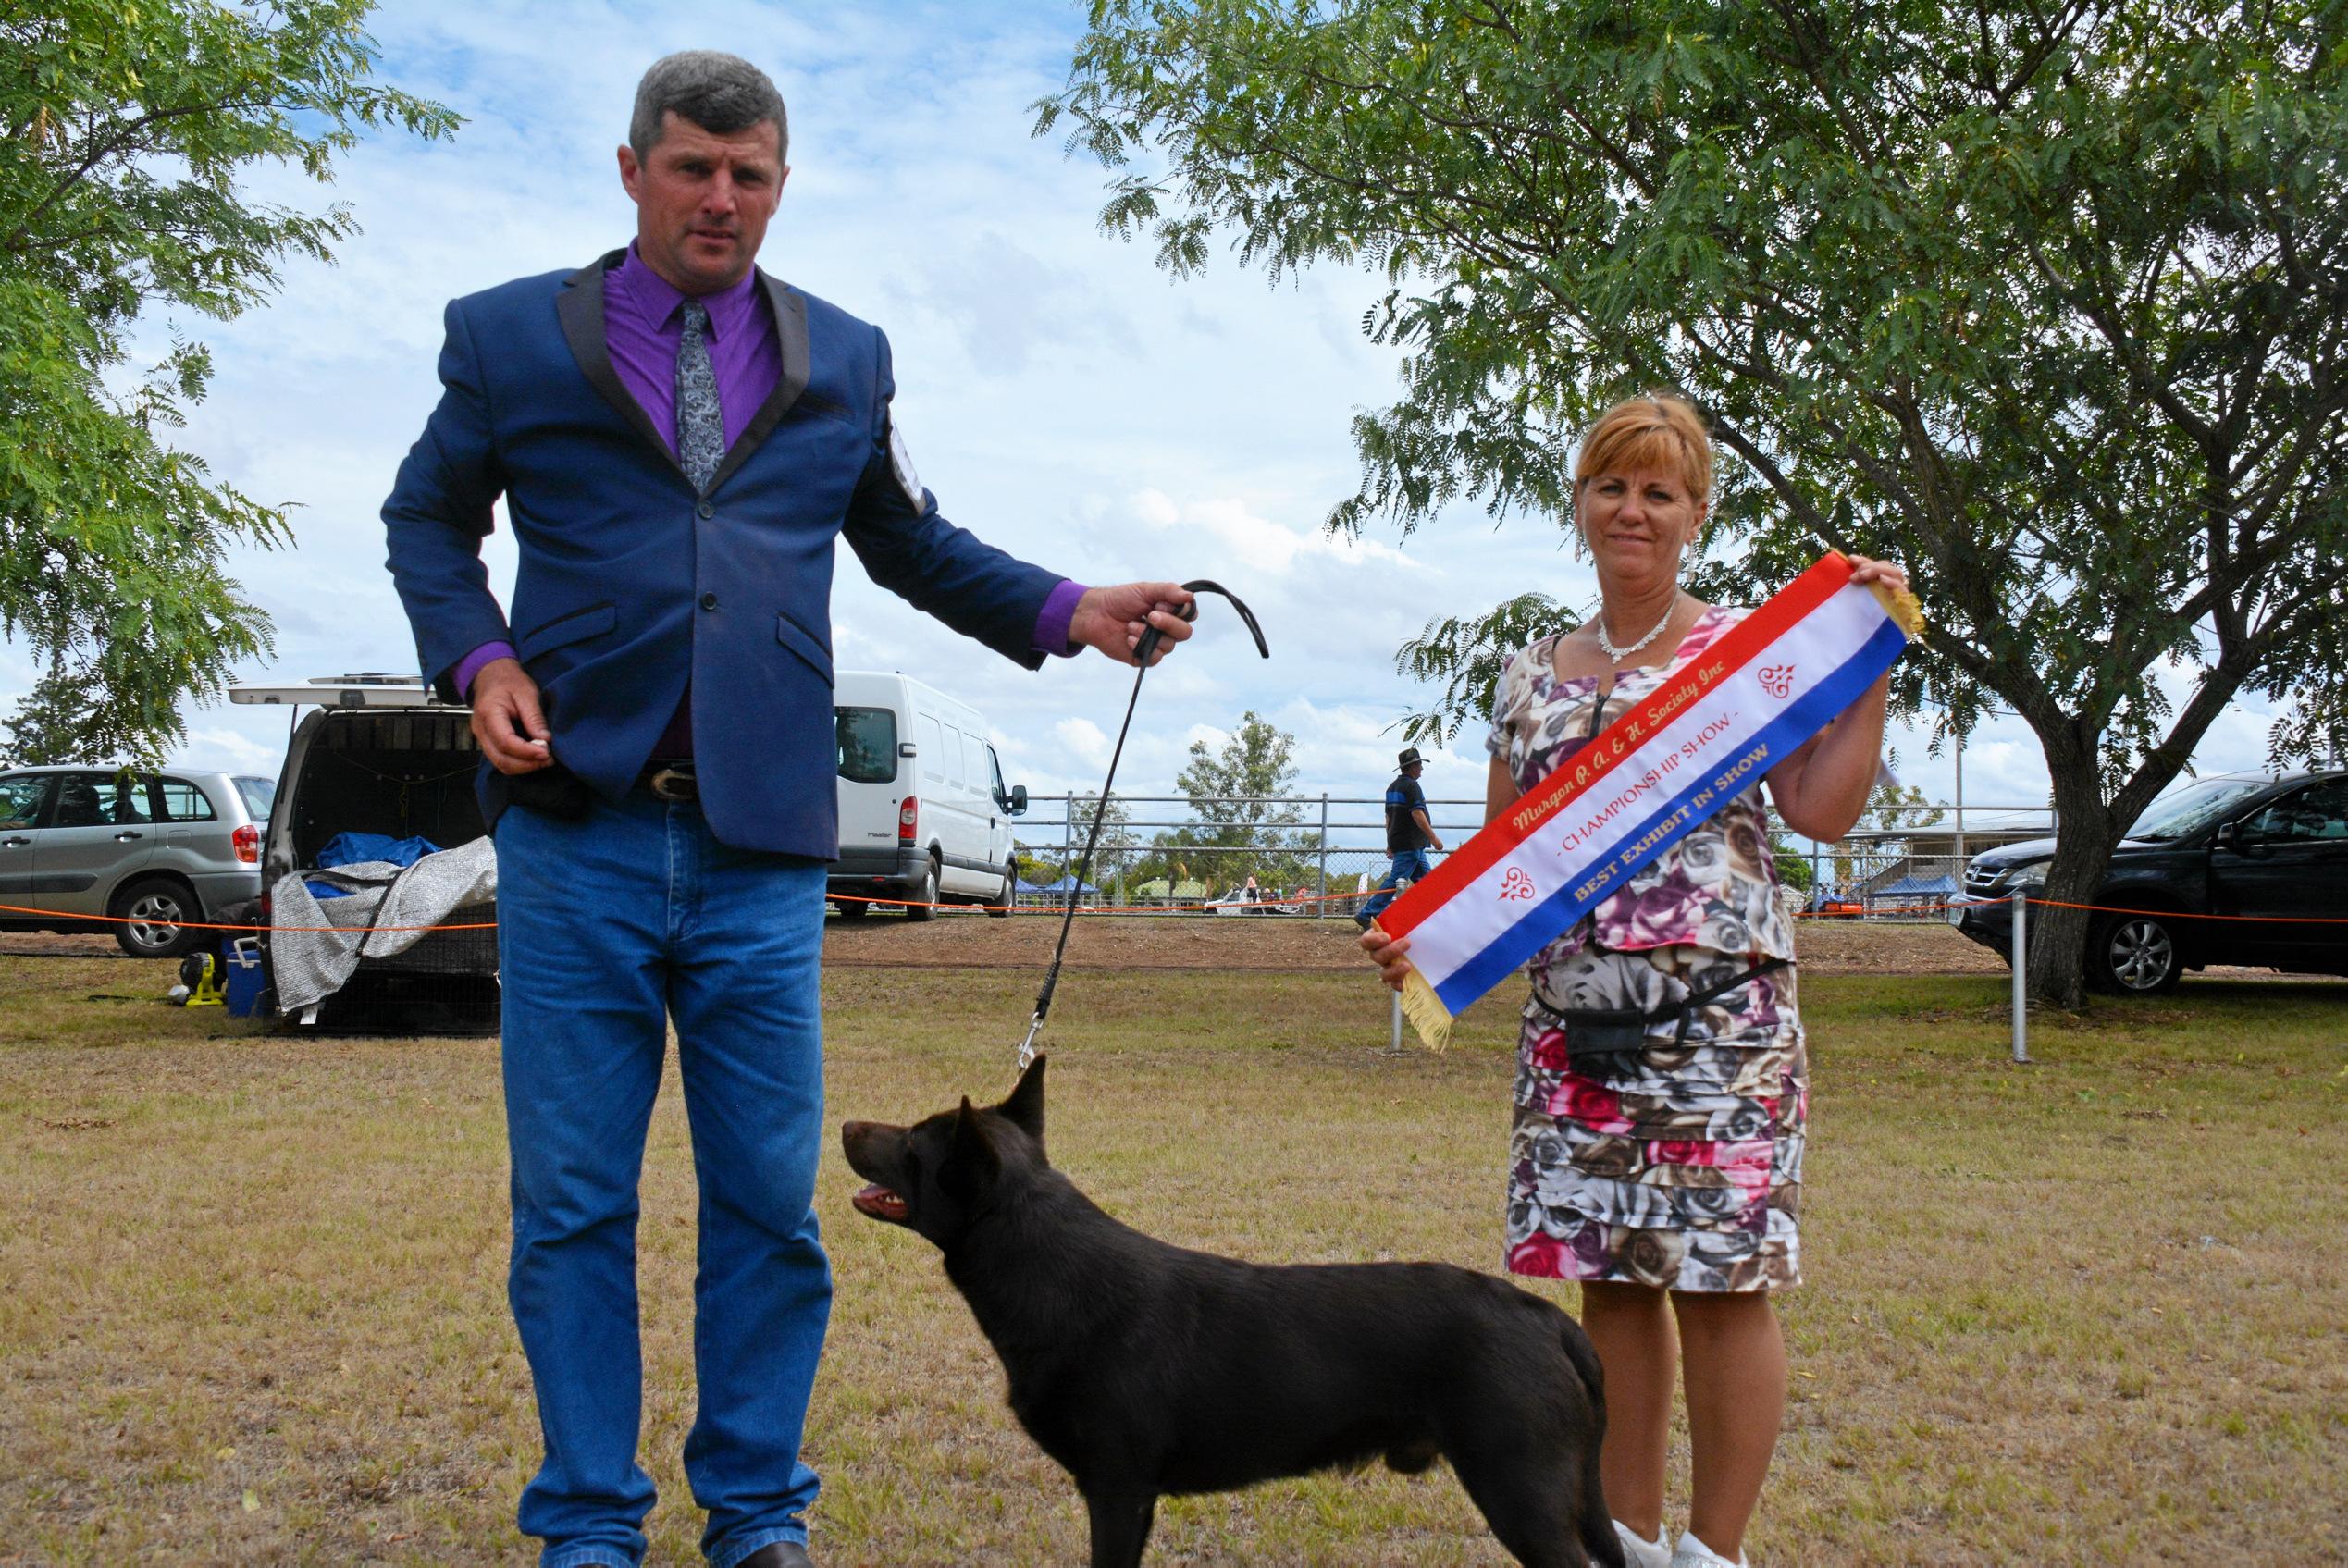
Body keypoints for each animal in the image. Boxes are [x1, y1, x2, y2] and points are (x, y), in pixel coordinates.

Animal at [835, 1051, 1625, 1567]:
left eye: (911, 1140)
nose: (843, 1123)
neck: (1054, 1273)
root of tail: (1545, 1317)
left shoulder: (1118, 1488)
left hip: (1521, 1489)